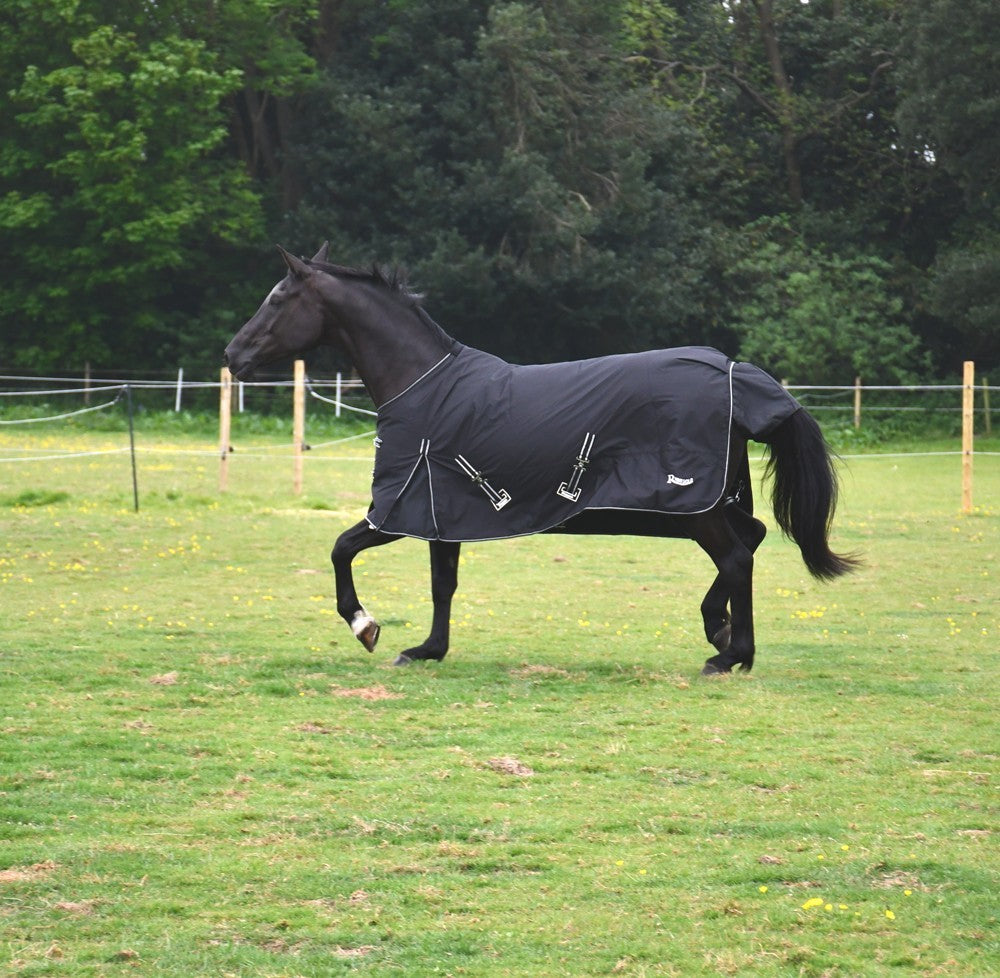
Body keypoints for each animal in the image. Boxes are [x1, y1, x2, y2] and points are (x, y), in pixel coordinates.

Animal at [224, 243, 857, 675]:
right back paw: (725, 637)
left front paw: (367, 627)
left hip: (695, 508)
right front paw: (429, 649)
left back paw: (727, 652)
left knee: (736, 557)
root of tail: (733, 372)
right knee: (750, 542)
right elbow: (442, 584)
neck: (424, 385)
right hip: (716, 501)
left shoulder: (400, 508)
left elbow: (341, 549)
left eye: (277, 299)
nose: (233, 355)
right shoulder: (442, 514)